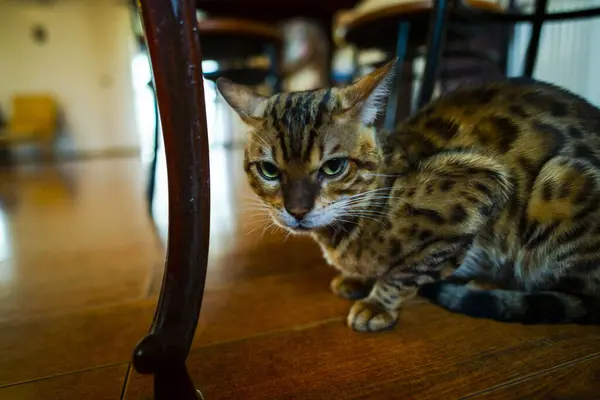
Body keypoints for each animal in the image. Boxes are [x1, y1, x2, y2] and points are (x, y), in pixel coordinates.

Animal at [217, 60, 600, 332]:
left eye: (333, 167)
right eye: (269, 170)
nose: (297, 210)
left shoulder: (482, 184)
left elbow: (408, 271)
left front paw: (378, 303)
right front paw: (358, 279)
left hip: (560, 182)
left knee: (582, 294)